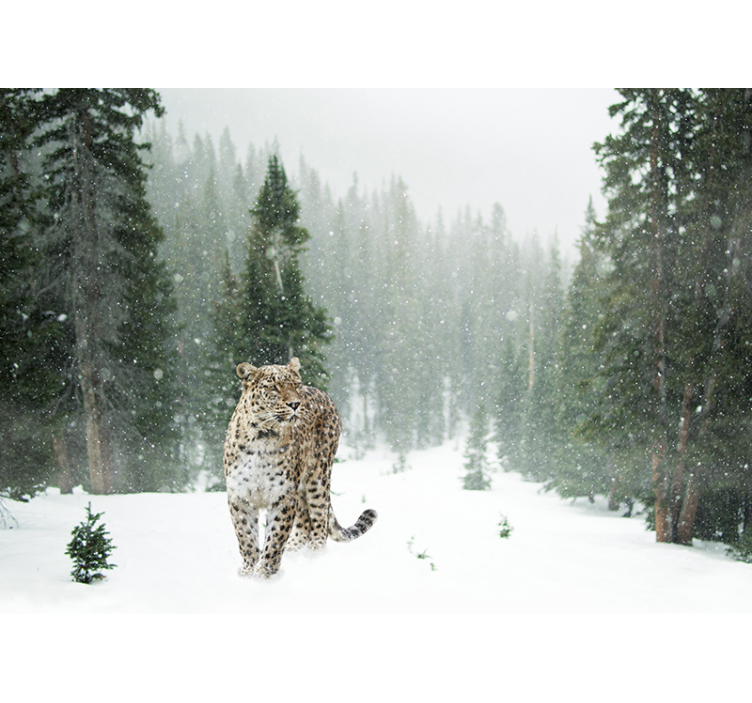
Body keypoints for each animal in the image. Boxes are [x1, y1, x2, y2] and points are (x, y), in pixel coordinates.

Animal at [223, 357, 377, 578]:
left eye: (296, 385)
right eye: (273, 387)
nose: (295, 404)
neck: (263, 437)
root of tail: (323, 393)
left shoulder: (284, 495)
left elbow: (275, 536)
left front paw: (265, 573)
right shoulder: (240, 496)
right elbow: (246, 536)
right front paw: (248, 571)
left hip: (318, 476)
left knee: (319, 519)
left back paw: (314, 556)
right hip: (303, 487)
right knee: (304, 520)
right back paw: (294, 550)